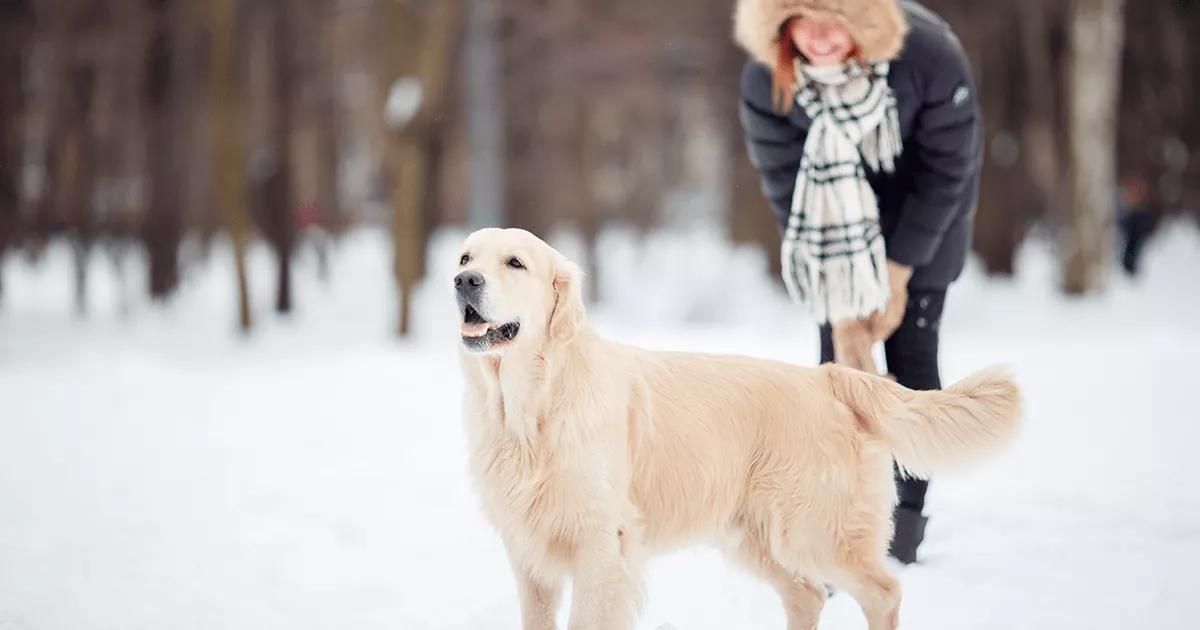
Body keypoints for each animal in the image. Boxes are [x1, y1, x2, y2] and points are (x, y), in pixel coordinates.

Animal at [453, 226, 1017, 628]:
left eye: (515, 262)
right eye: (465, 258)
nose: (464, 282)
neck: (529, 406)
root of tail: (829, 378)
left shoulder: (602, 547)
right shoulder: (527, 556)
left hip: (816, 532)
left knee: (884, 592)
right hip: (754, 537)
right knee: (808, 595)